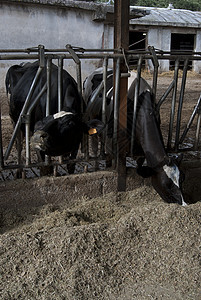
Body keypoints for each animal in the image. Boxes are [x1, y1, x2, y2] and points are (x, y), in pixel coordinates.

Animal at [83, 68, 187, 205]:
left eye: (182, 180)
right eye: (167, 185)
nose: (184, 204)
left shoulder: (140, 147)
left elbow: (139, 164)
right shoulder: (114, 142)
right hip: (92, 122)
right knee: (95, 148)